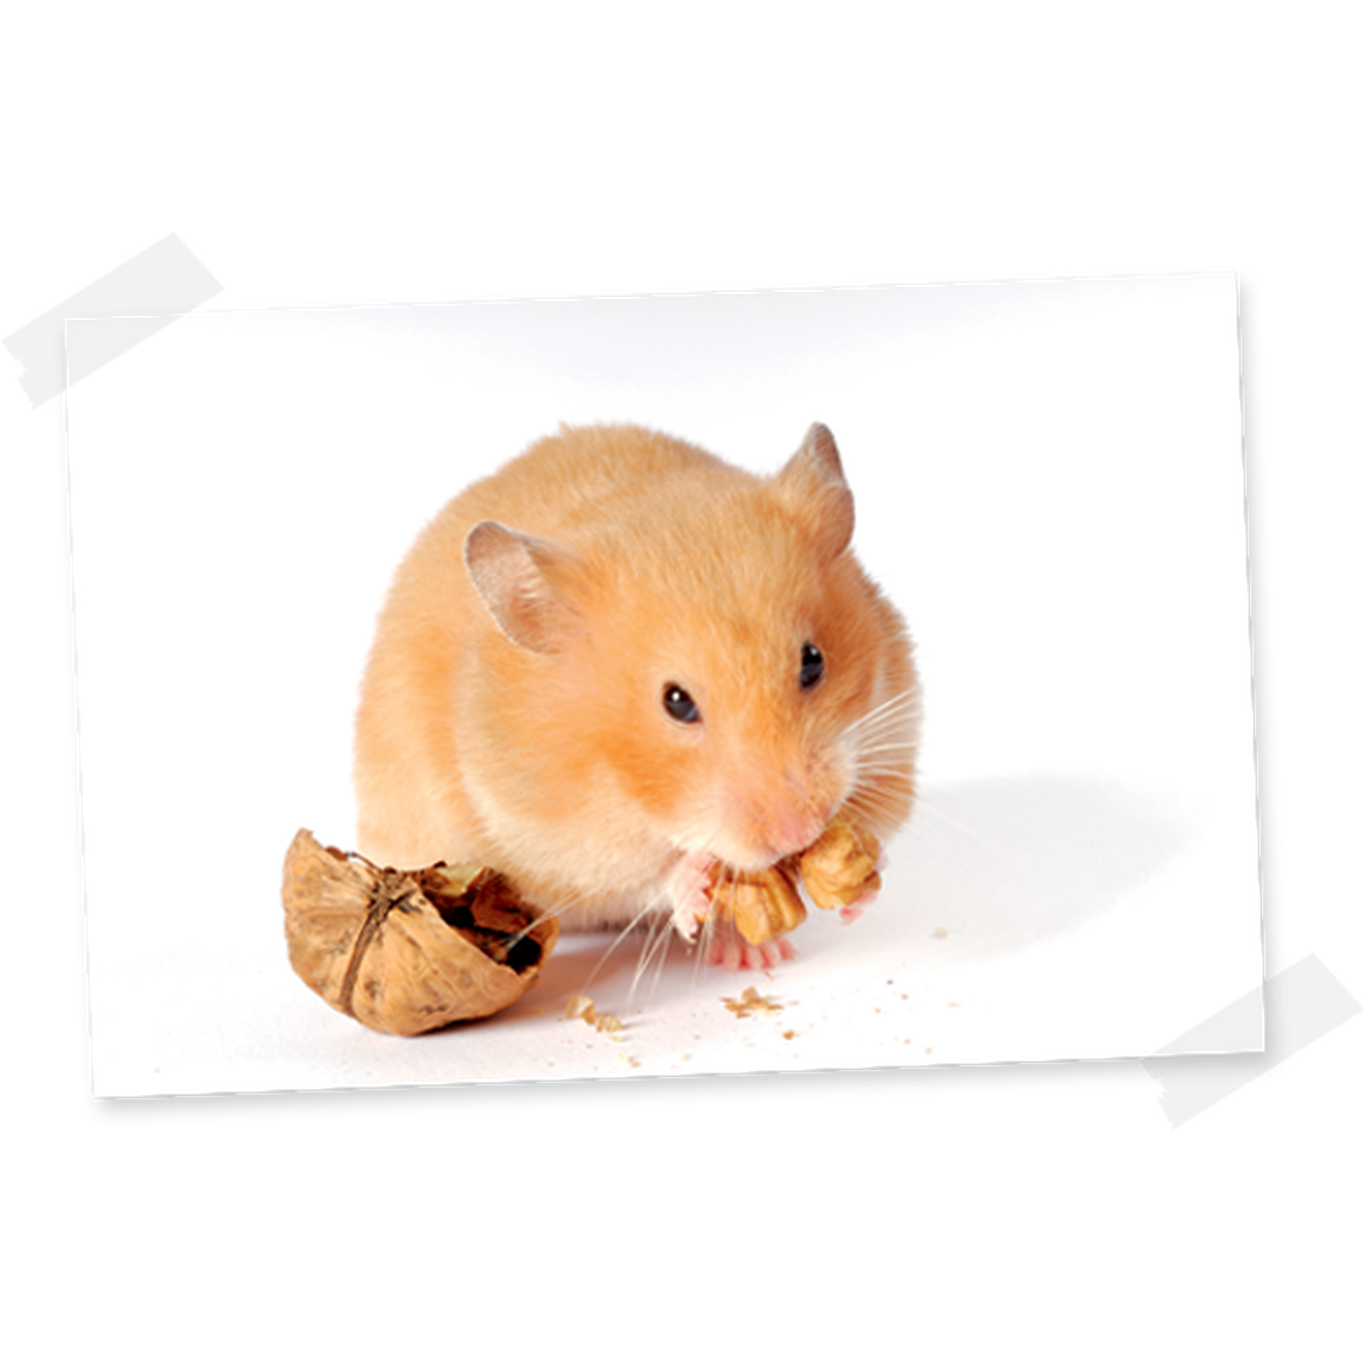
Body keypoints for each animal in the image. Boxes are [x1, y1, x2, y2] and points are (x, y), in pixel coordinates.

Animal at [353, 422, 921, 971]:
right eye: (676, 702)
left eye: (814, 661)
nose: (800, 833)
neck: (630, 789)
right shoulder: (556, 844)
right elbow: (641, 881)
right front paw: (693, 879)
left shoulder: (895, 723)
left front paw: (860, 877)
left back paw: (755, 953)